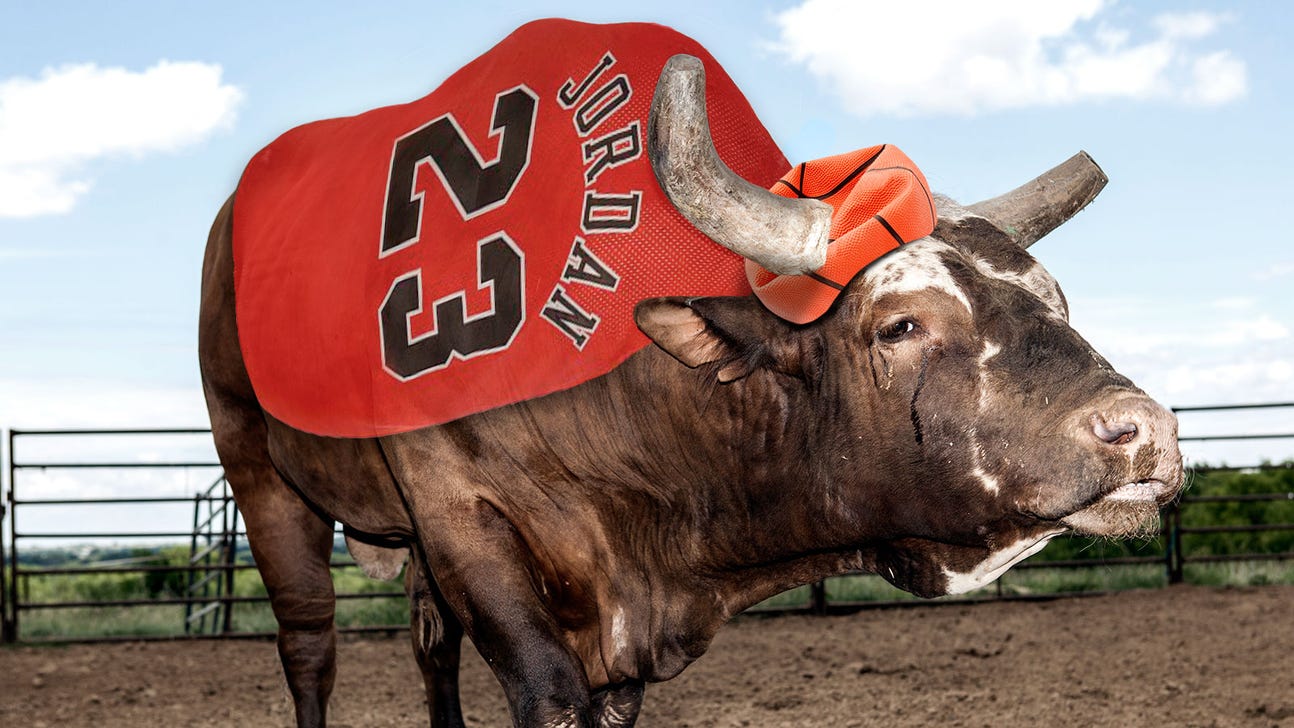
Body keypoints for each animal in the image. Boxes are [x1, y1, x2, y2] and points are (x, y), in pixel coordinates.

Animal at [200, 50, 1183, 728]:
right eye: (899, 325)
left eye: (1058, 301)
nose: (1143, 431)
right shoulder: (461, 521)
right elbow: (547, 695)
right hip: (260, 472)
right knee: (310, 644)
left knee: (428, 647)